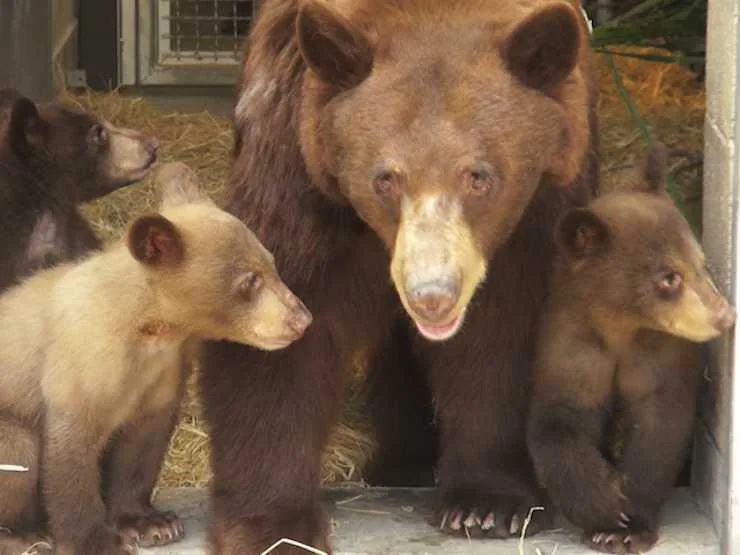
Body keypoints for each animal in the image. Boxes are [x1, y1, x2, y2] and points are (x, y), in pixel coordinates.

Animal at [0, 162, 312, 555]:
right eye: (248, 281)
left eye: (272, 263)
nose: (301, 319)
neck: (148, 332)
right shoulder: (80, 362)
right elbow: (71, 456)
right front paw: (97, 542)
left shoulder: (164, 372)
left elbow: (142, 446)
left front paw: (149, 524)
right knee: (20, 452)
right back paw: (23, 534)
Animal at [198, 0, 600, 552]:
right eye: (384, 178)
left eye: (479, 176)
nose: (432, 295)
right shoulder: (297, 171)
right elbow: (278, 330)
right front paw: (275, 526)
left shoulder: (538, 210)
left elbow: (502, 334)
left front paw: (489, 503)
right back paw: (401, 460)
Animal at [526, 142, 736, 554]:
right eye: (668, 277)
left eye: (701, 263)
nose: (724, 315)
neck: (622, 330)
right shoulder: (573, 346)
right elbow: (558, 421)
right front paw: (603, 502)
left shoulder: (662, 355)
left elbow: (660, 426)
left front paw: (628, 526)